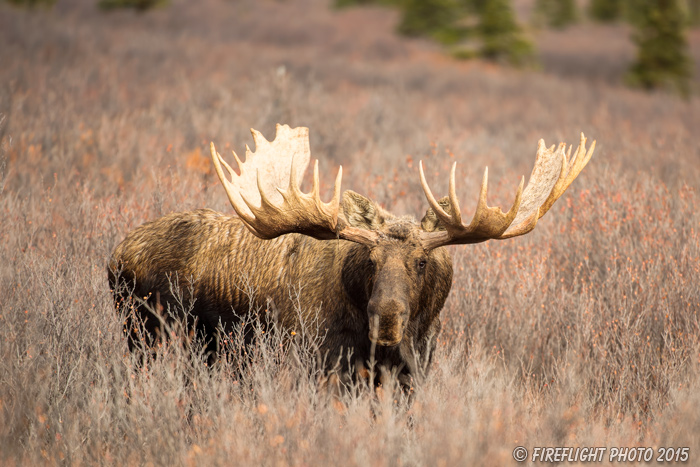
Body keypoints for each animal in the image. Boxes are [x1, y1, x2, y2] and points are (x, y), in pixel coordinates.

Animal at [109, 123, 596, 384]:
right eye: (370, 262)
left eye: (421, 262)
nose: (387, 320)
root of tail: (114, 256)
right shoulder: (323, 363)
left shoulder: (412, 371)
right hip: (144, 334)